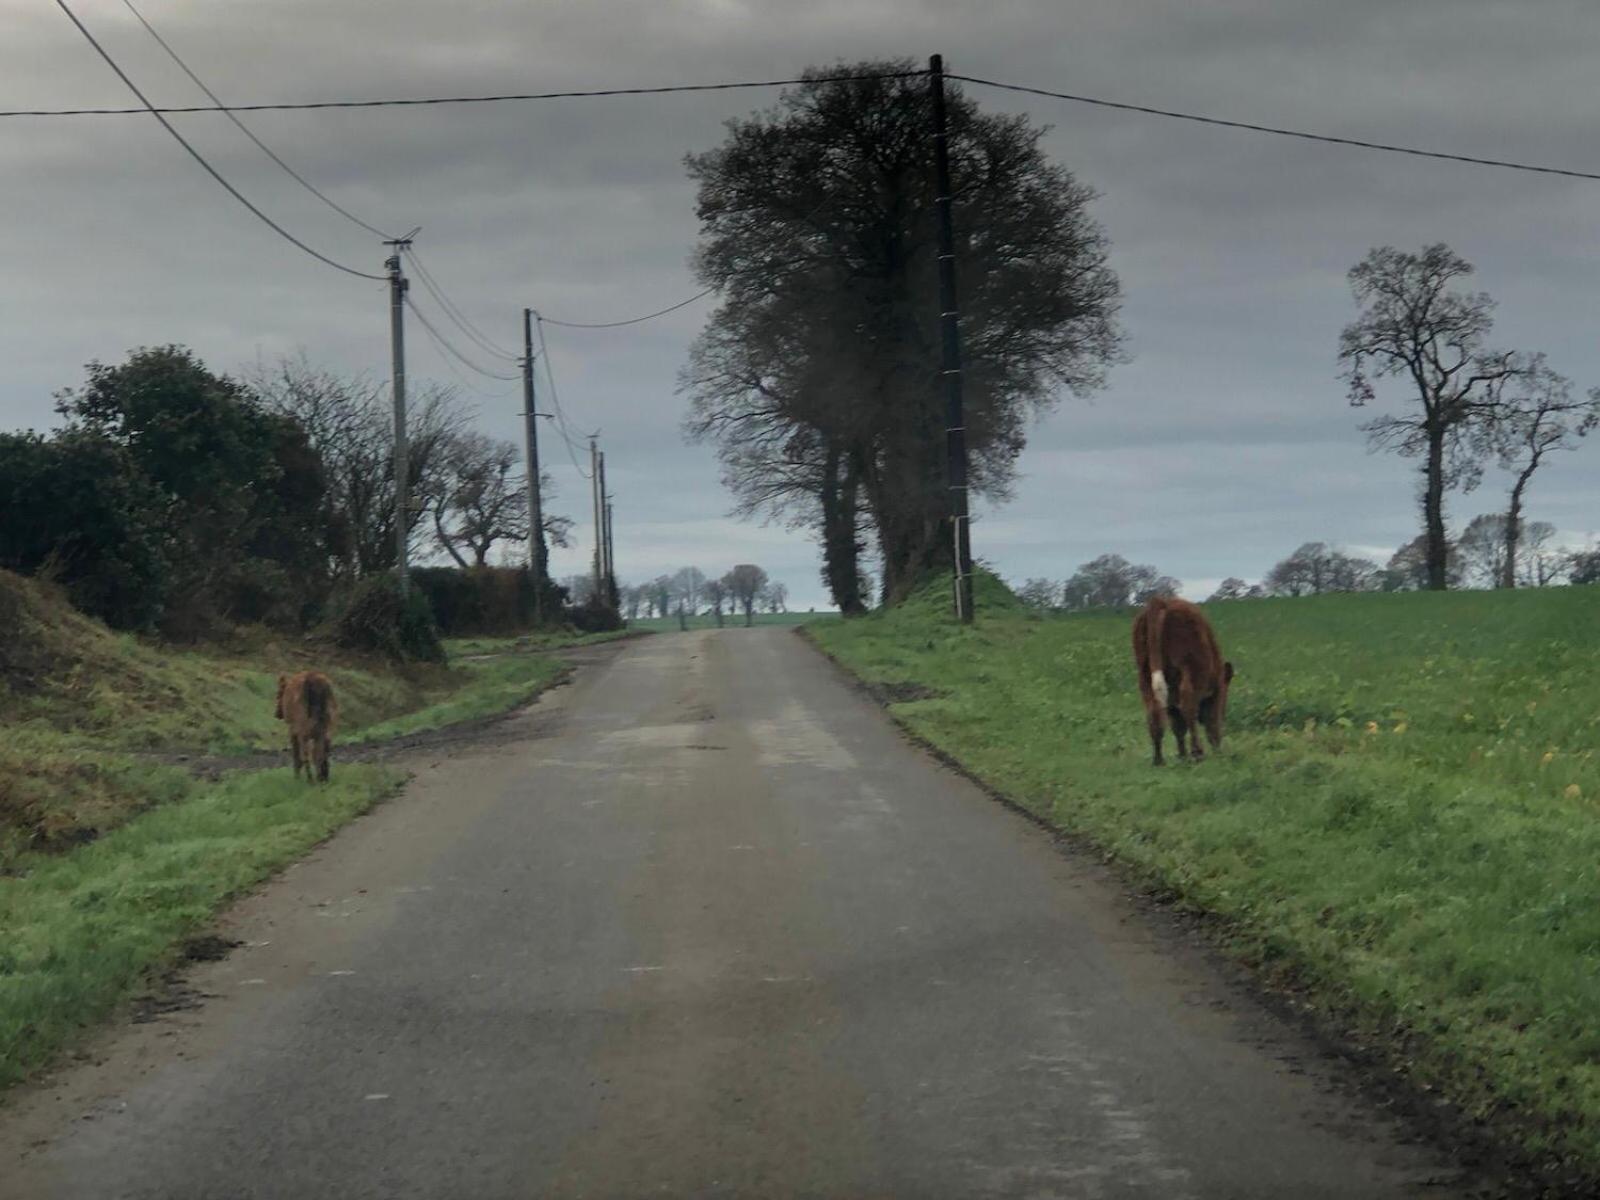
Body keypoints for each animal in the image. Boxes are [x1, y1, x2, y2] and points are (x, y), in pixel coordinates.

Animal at [1132, 601, 1228, 771]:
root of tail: (1160, 601)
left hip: (1145, 675)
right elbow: (1208, 718)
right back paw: (1197, 752)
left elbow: (1177, 725)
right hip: (1189, 669)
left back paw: (1158, 759)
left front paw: (1182, 755)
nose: (1218, 749)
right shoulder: (1214, 692)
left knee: (1154, 712)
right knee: (1188, 706)